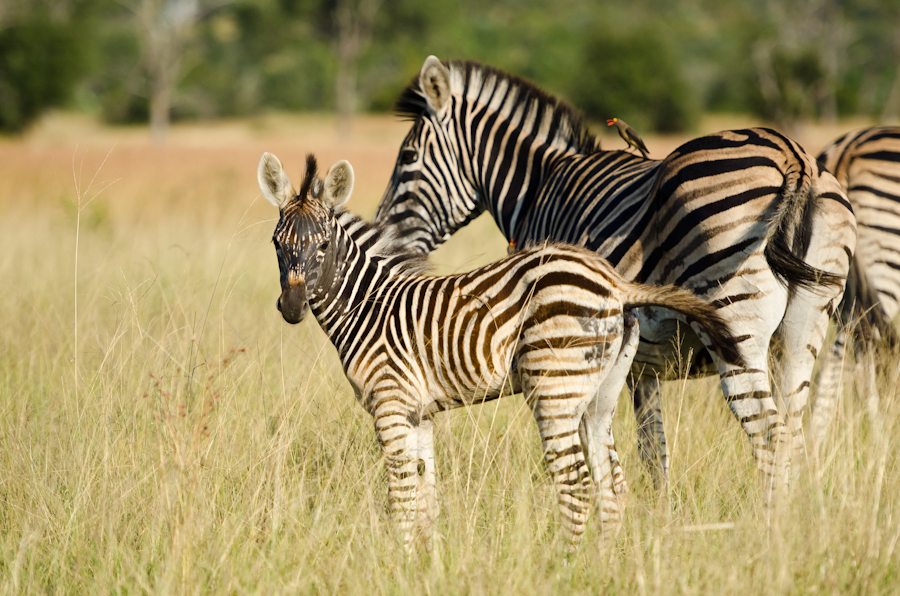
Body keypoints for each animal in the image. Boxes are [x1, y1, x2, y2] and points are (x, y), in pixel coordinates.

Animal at [258, 152, 744, 550]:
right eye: (277, 245)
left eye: (323, 246)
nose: (292, 308)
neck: (368, 306)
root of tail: (615, 282)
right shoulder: (419, 413)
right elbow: (427, 497)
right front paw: (429, 562)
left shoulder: (390, 405)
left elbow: (402, 496)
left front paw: (400, 559)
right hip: (599, 395)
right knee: (612, 484)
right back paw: (601, 565)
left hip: (553, 389)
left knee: (576, 484)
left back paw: (563, 566)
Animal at [373, 56, 857, 494]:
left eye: (408, 157)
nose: (383, 239)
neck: (538, 187)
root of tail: (792, 155)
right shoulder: (644, 360)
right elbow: (652, 448)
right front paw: (659, 518)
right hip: (808, 320)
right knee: (792, 429)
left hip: (736, 317)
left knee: (767, 429)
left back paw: (769, 526)